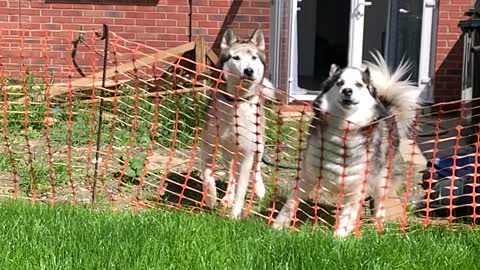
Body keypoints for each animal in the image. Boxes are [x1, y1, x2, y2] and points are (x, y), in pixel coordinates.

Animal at [200, 28, 274, 219]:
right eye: (236, 57)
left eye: (254, 57)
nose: (248, 70)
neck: (236, 102)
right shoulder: (208, 144)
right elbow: (208, 174)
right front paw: (211, 198)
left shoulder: (247, 153)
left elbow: (242, 188)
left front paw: (234, 216)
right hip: (227, 153)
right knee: (230, 172)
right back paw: (227, 197)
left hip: (259, 145)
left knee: (256, 168)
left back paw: (259, 190)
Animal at [274, 52, 420, 236]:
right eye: (340, 83)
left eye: (358, 85)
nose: (347, 91)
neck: (344, 127)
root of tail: (387, 109)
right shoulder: (307, 173)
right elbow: (292, 201)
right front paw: (278, 225)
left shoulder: (358, 184)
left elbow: (348, 214)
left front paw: (339, 237)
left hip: (381, 177)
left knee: (380, 200)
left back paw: (378, 225)